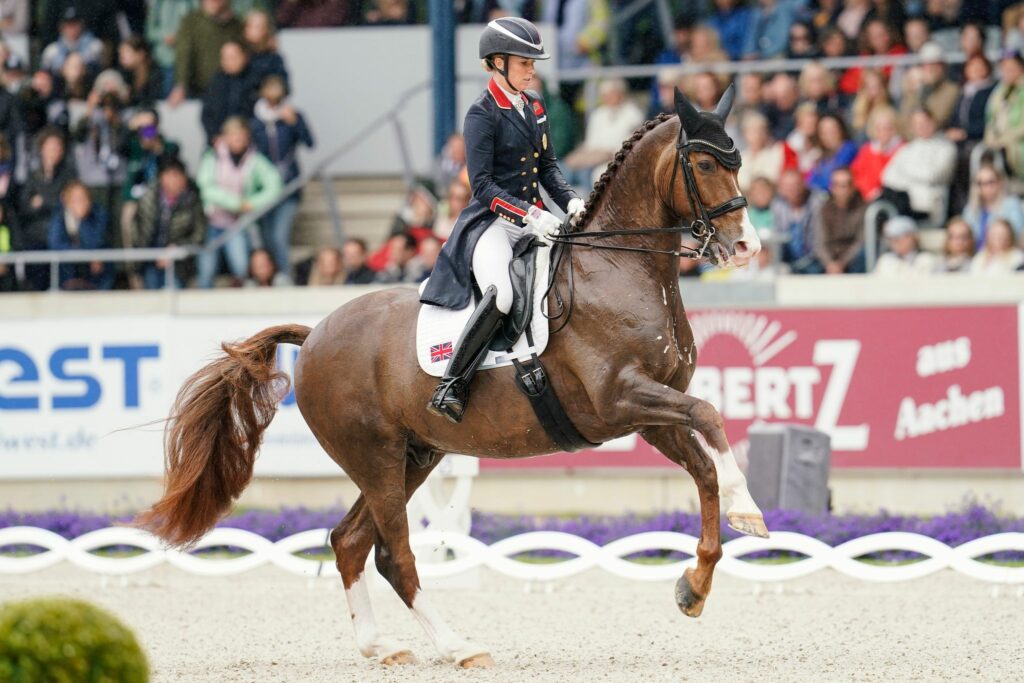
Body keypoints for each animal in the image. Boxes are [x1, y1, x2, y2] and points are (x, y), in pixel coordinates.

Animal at [138, 88, 770, 671]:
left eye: (738, 161)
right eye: (706, 164)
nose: (747, 246)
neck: (617, 267)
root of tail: (315, 334)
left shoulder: (651, 410)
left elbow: (703, 466)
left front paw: (695, 585)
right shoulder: (620, 399)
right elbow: (711, 417)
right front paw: (750, 511)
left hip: (413, 456)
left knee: (351, 543)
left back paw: (381, 646)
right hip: (376, 458)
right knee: (394, 554)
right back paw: (457, 646)